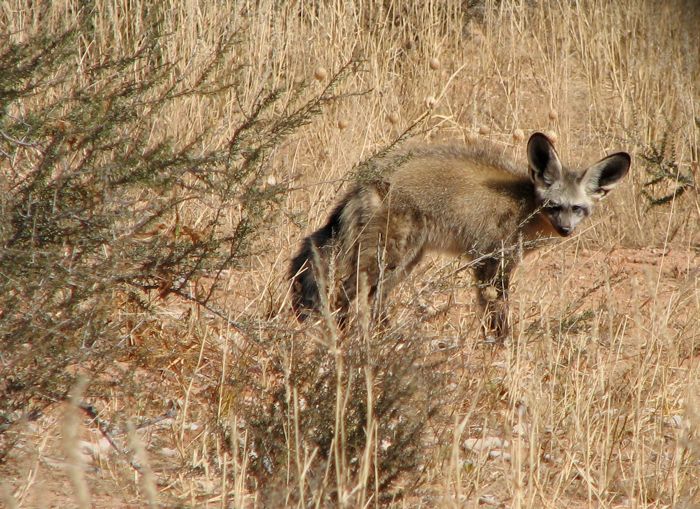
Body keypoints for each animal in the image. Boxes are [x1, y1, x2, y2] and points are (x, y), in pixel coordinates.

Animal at [288, 132, 632, 342]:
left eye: (578, 209)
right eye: (554, 207)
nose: (565, 230)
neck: (525, 206)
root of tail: (369, 180)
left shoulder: (500, 264)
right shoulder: (488, 263)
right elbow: (496, 314)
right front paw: (500, 345)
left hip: (405, 262)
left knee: (373, 299)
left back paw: (384, 337)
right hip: (388, 258)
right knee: (346, 293)